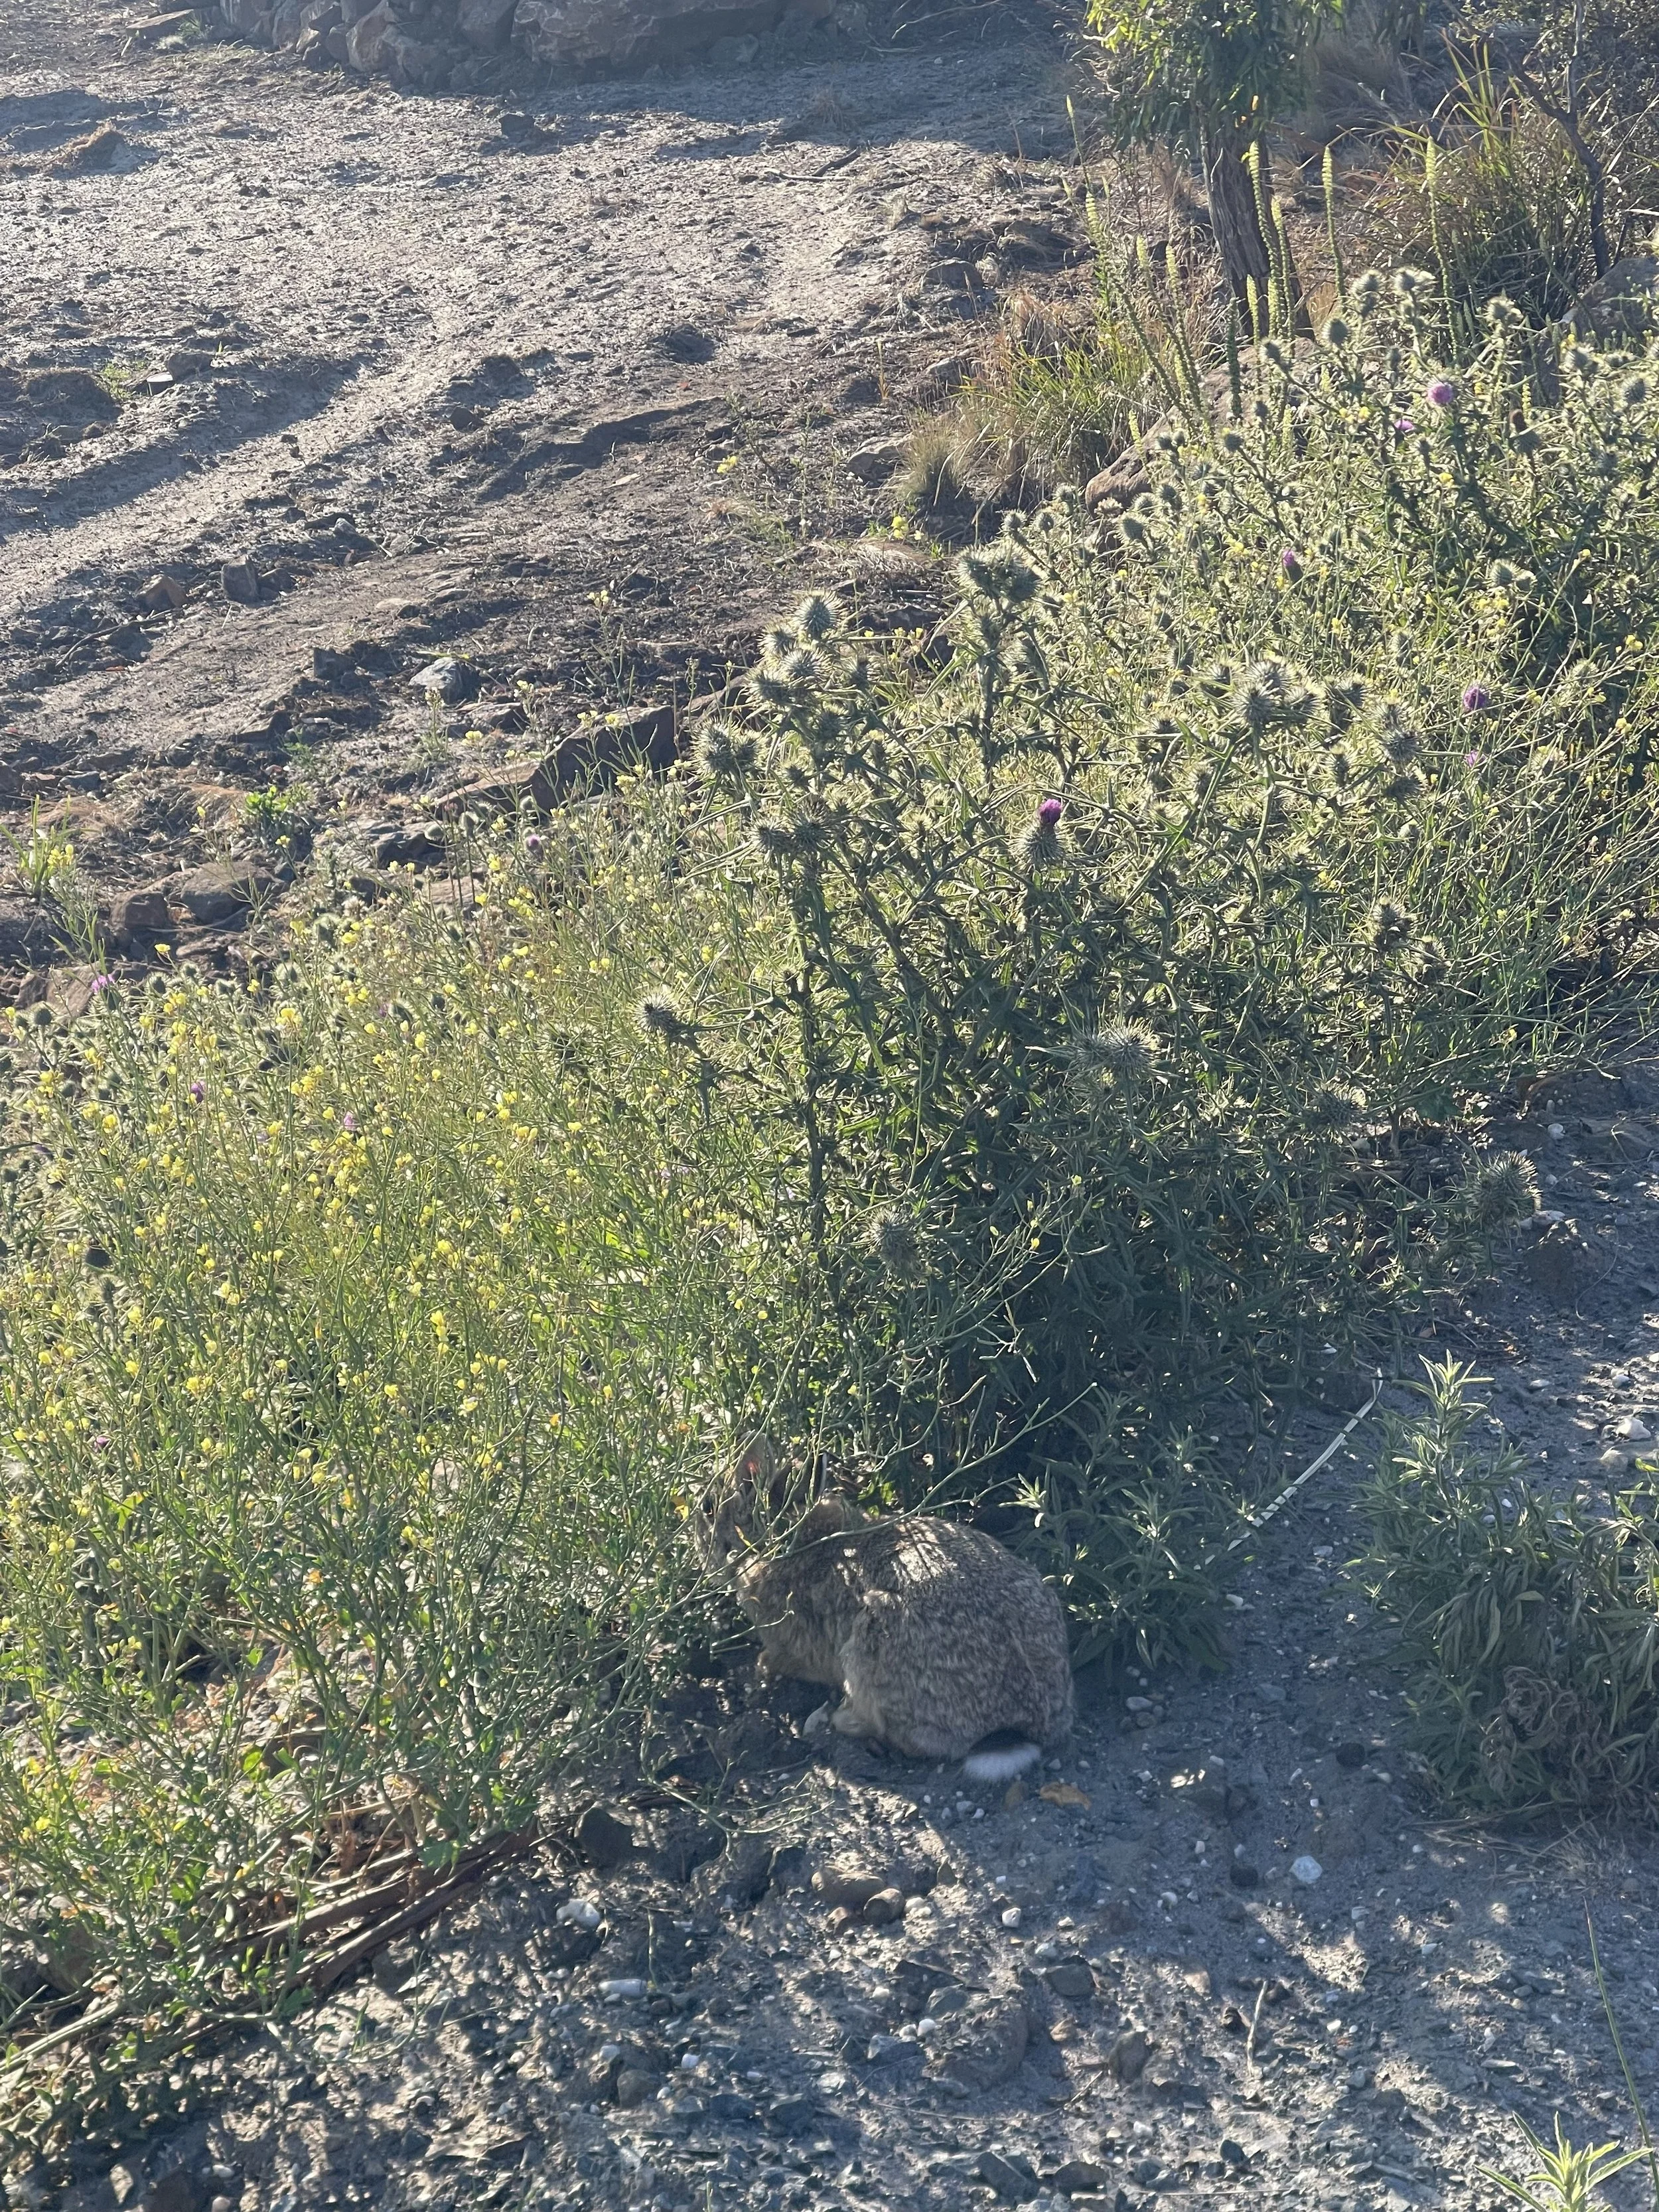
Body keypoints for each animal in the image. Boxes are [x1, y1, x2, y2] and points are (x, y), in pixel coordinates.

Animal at [702, 1436, 1073, 1781]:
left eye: (708, 1509)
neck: (778, 1541)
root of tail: (1021, 1725)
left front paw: (763, 1666)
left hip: (870, 1648)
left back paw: (838, 1720)